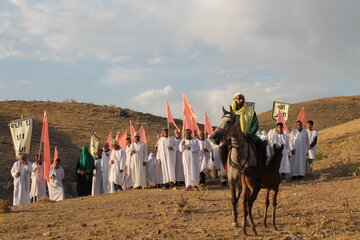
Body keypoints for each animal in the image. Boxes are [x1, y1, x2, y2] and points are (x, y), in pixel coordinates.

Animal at [211, 106, 284, 235]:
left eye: (229, 121)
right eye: (220, 120)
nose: (214, 137)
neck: (239, 156)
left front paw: (248, 222)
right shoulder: (232, 182)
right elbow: (233, 199)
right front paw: (235, 221)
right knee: (239, 199)